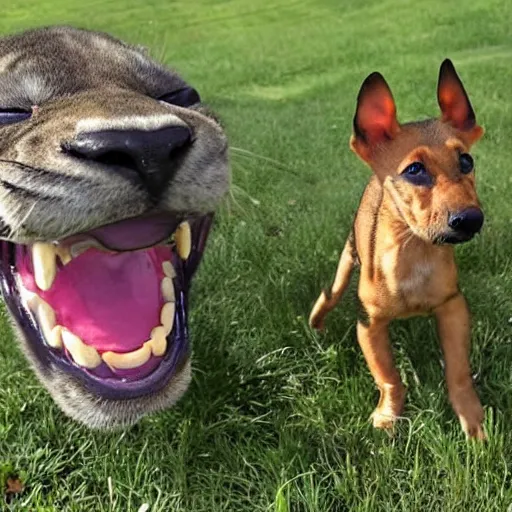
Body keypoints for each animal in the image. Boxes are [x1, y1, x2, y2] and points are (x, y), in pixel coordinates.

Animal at [310, 58, 486, 438]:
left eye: (466, 162)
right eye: (414, 170)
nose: (470, 219)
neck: (413, 253)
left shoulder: (453, 308)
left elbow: (458, 372)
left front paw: (473, 420)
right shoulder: (369, 325)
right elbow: (388, 376)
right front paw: (389, 414)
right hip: (347, 258)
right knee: (330, 293)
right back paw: (317, 320)